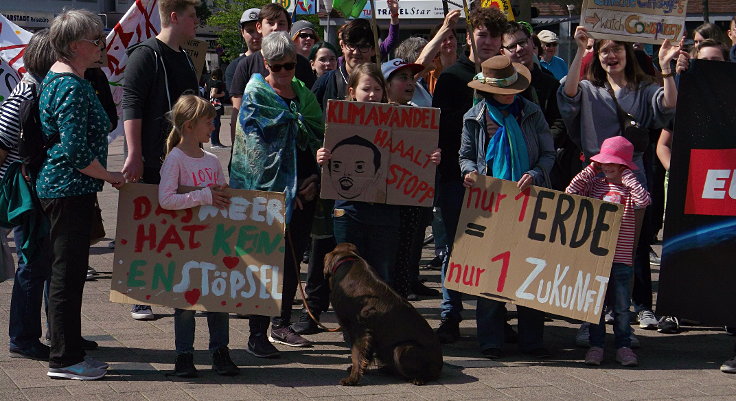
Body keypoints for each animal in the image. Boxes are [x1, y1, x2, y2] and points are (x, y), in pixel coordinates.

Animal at [324, 241, 442, 384]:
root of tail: (439, 366)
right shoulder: (368, 334)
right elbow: (364, 355)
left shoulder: (359, 329)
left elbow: (356, 354)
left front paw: (352, 379)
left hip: (401, 349)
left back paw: (417, 379)